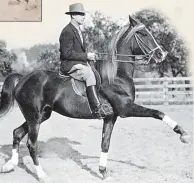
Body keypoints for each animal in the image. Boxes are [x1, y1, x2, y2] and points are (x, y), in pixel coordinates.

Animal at [0, 15, 191, 182]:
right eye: (143, 34)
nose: (162, 55)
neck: (117, 75)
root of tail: (23, 78)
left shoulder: (111, 117)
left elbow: (105, 143)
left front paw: (103, 172)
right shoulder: (126, 108)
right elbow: (158, 112)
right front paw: (183, 133)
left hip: (41, 115)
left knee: (17, 133)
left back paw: (9, 165)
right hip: (34, 117)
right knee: (32, 144)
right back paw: (41, 175)